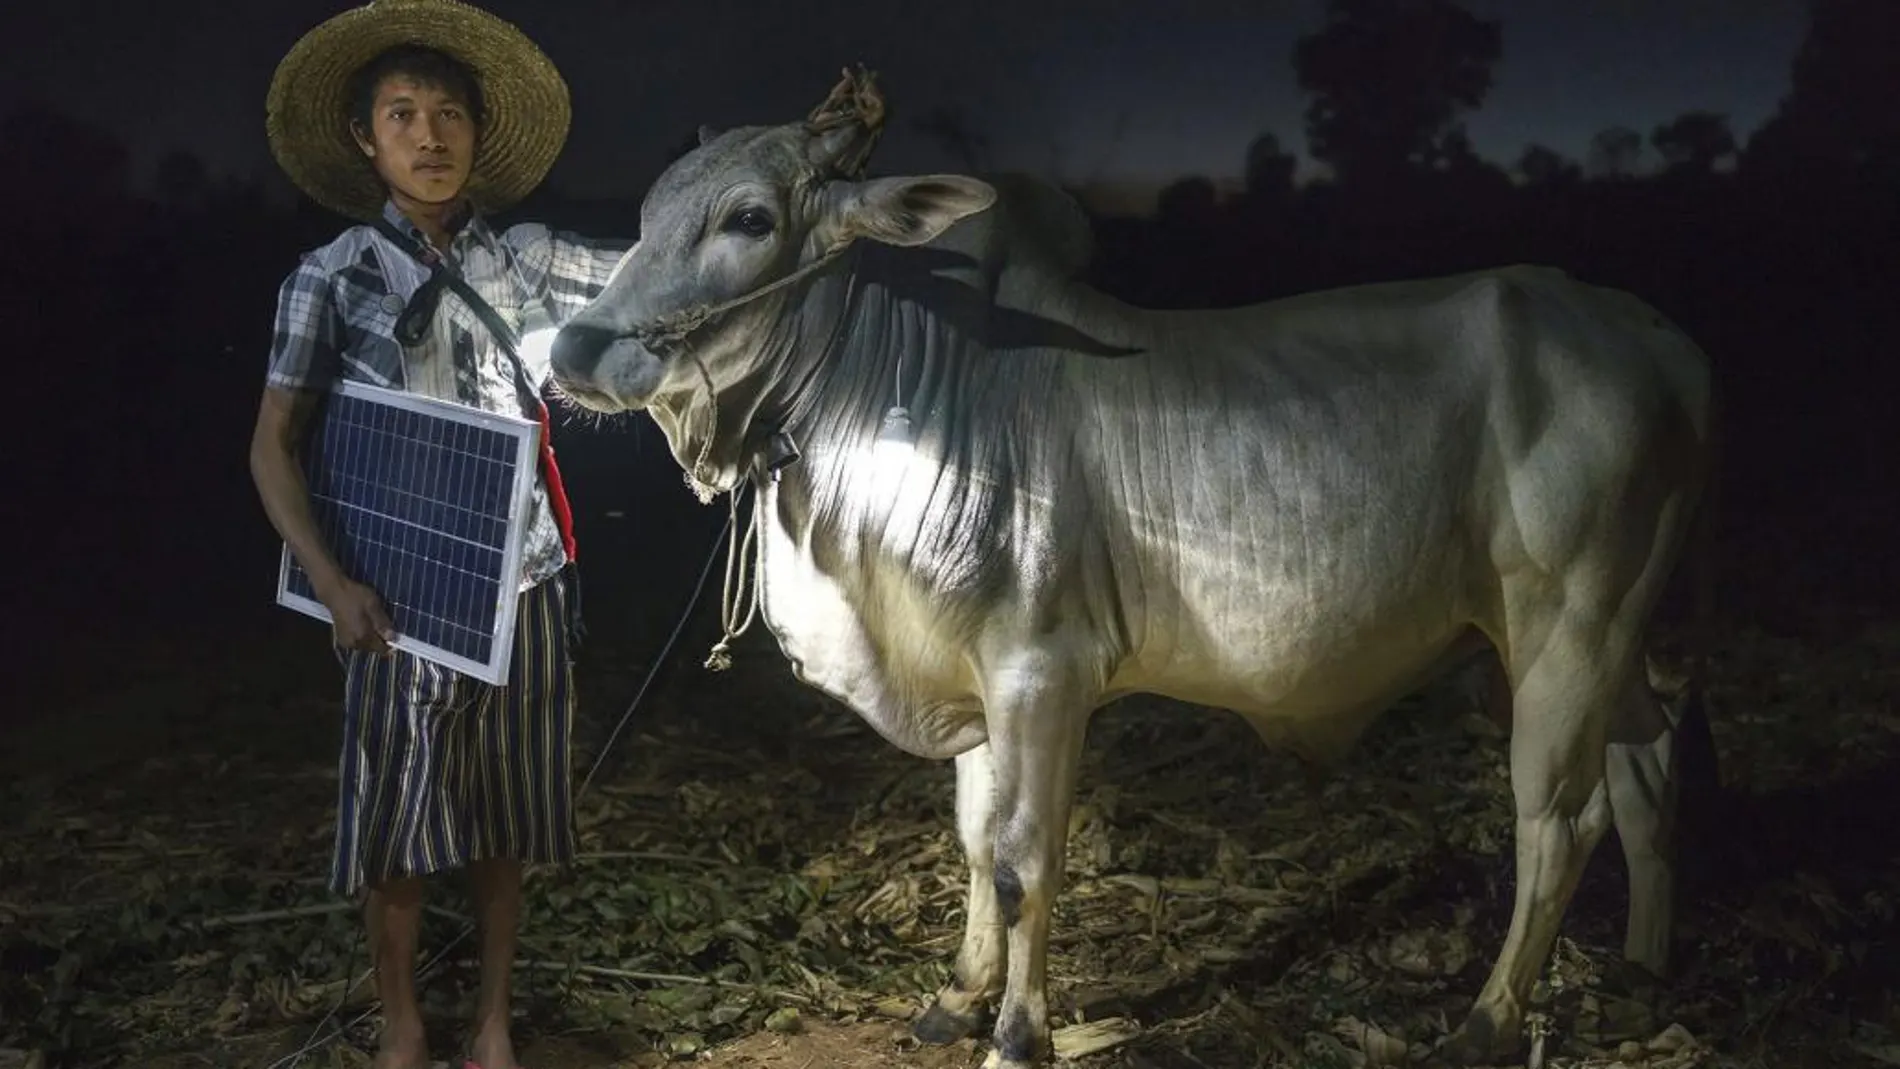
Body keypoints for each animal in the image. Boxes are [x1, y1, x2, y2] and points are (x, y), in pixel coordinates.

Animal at [547, 71, 1725, 1063]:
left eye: (749, 219)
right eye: (645, 215)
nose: (573, 351)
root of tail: (1660, 341)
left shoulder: (1041, 672)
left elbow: (1023, 858)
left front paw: (1017, 1034)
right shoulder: (975, 679)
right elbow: (972, 842)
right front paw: (957, 997)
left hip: (1565, 628)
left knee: (1557, 821)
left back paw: (1488, 1019)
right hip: (1580, 640)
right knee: (1648, 762)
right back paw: (1644, 964)